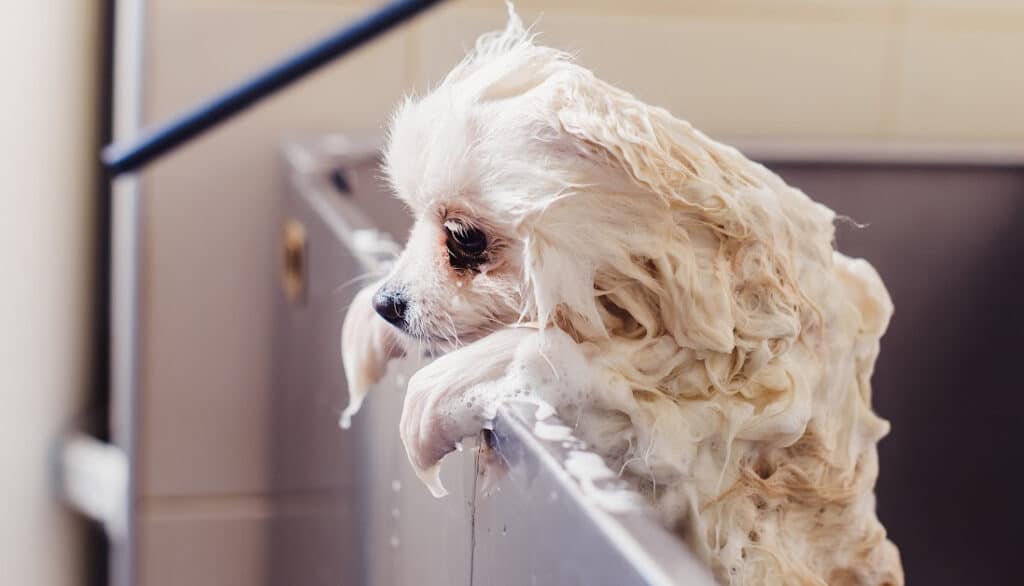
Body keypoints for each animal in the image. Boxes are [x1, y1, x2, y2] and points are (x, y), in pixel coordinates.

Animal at [339, 9, 901, 586]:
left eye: (463, 238)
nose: (388, 303)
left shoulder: (703, 439)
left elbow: (558, 356)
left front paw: (449, 383)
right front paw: (369, 327)